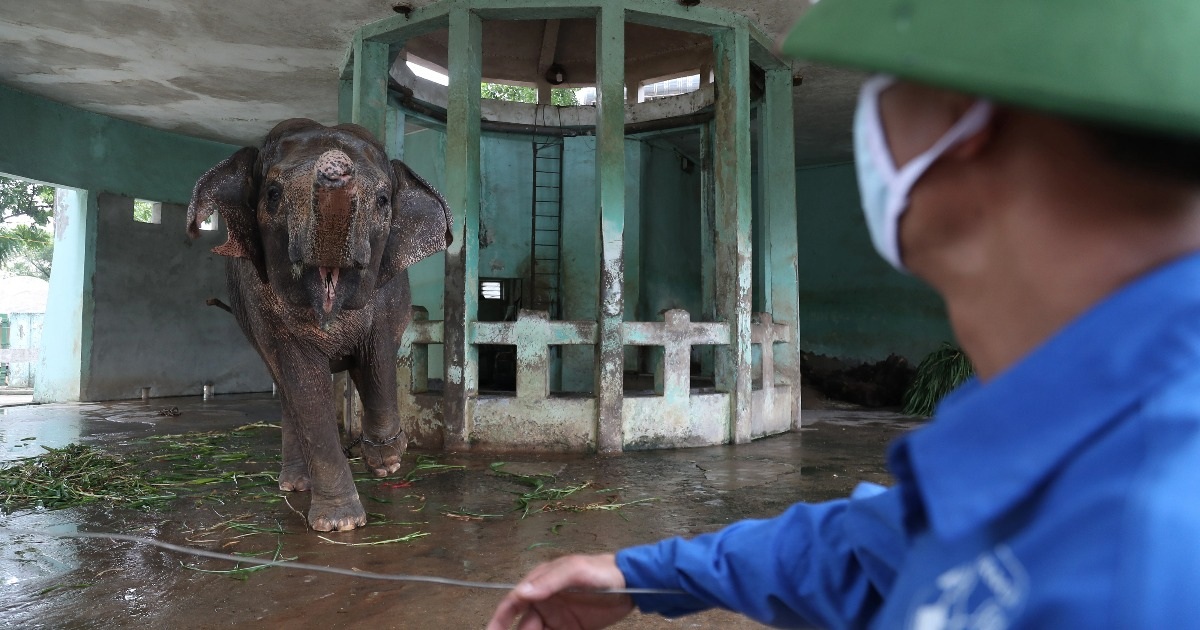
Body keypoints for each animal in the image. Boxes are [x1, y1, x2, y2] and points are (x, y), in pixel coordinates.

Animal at [187, 117, 451, 530]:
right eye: (273, 194)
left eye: (383, 200)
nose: (336, 165)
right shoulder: (261, 302)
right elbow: (303, 381)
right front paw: (340, 524)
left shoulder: (388, 287)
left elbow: (377, 352)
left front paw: (387, 460)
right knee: (287, 390)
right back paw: (296, 484)